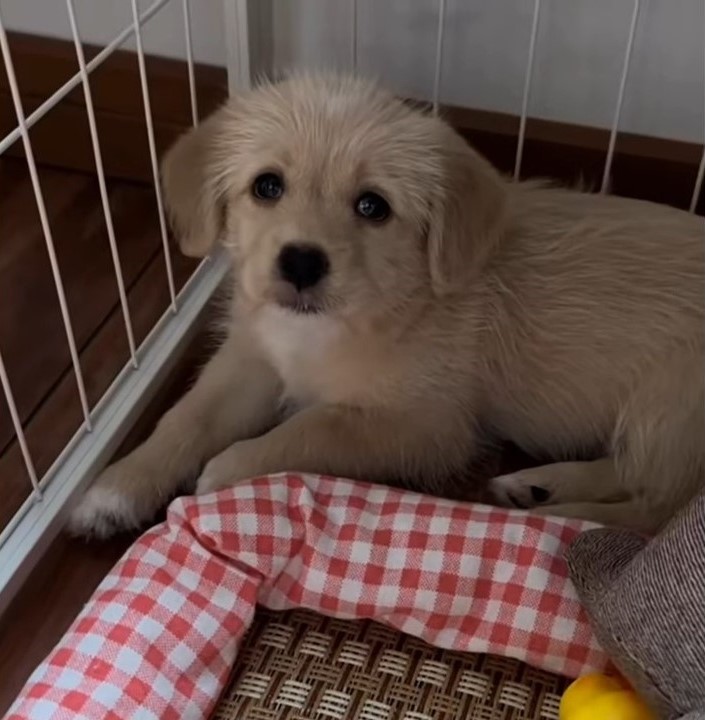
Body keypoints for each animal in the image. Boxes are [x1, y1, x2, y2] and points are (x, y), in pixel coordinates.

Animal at [69, 73, 700, 536]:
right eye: (267, 186)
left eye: (373, 206)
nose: (301, 263)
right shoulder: (251, 362)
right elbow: (185, 417)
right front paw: (116, 487)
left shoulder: (427, 426)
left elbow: (316, 427)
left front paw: (230, 473)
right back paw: (539, 486)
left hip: (666, 405)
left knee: (659, 510)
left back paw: (566, 521)